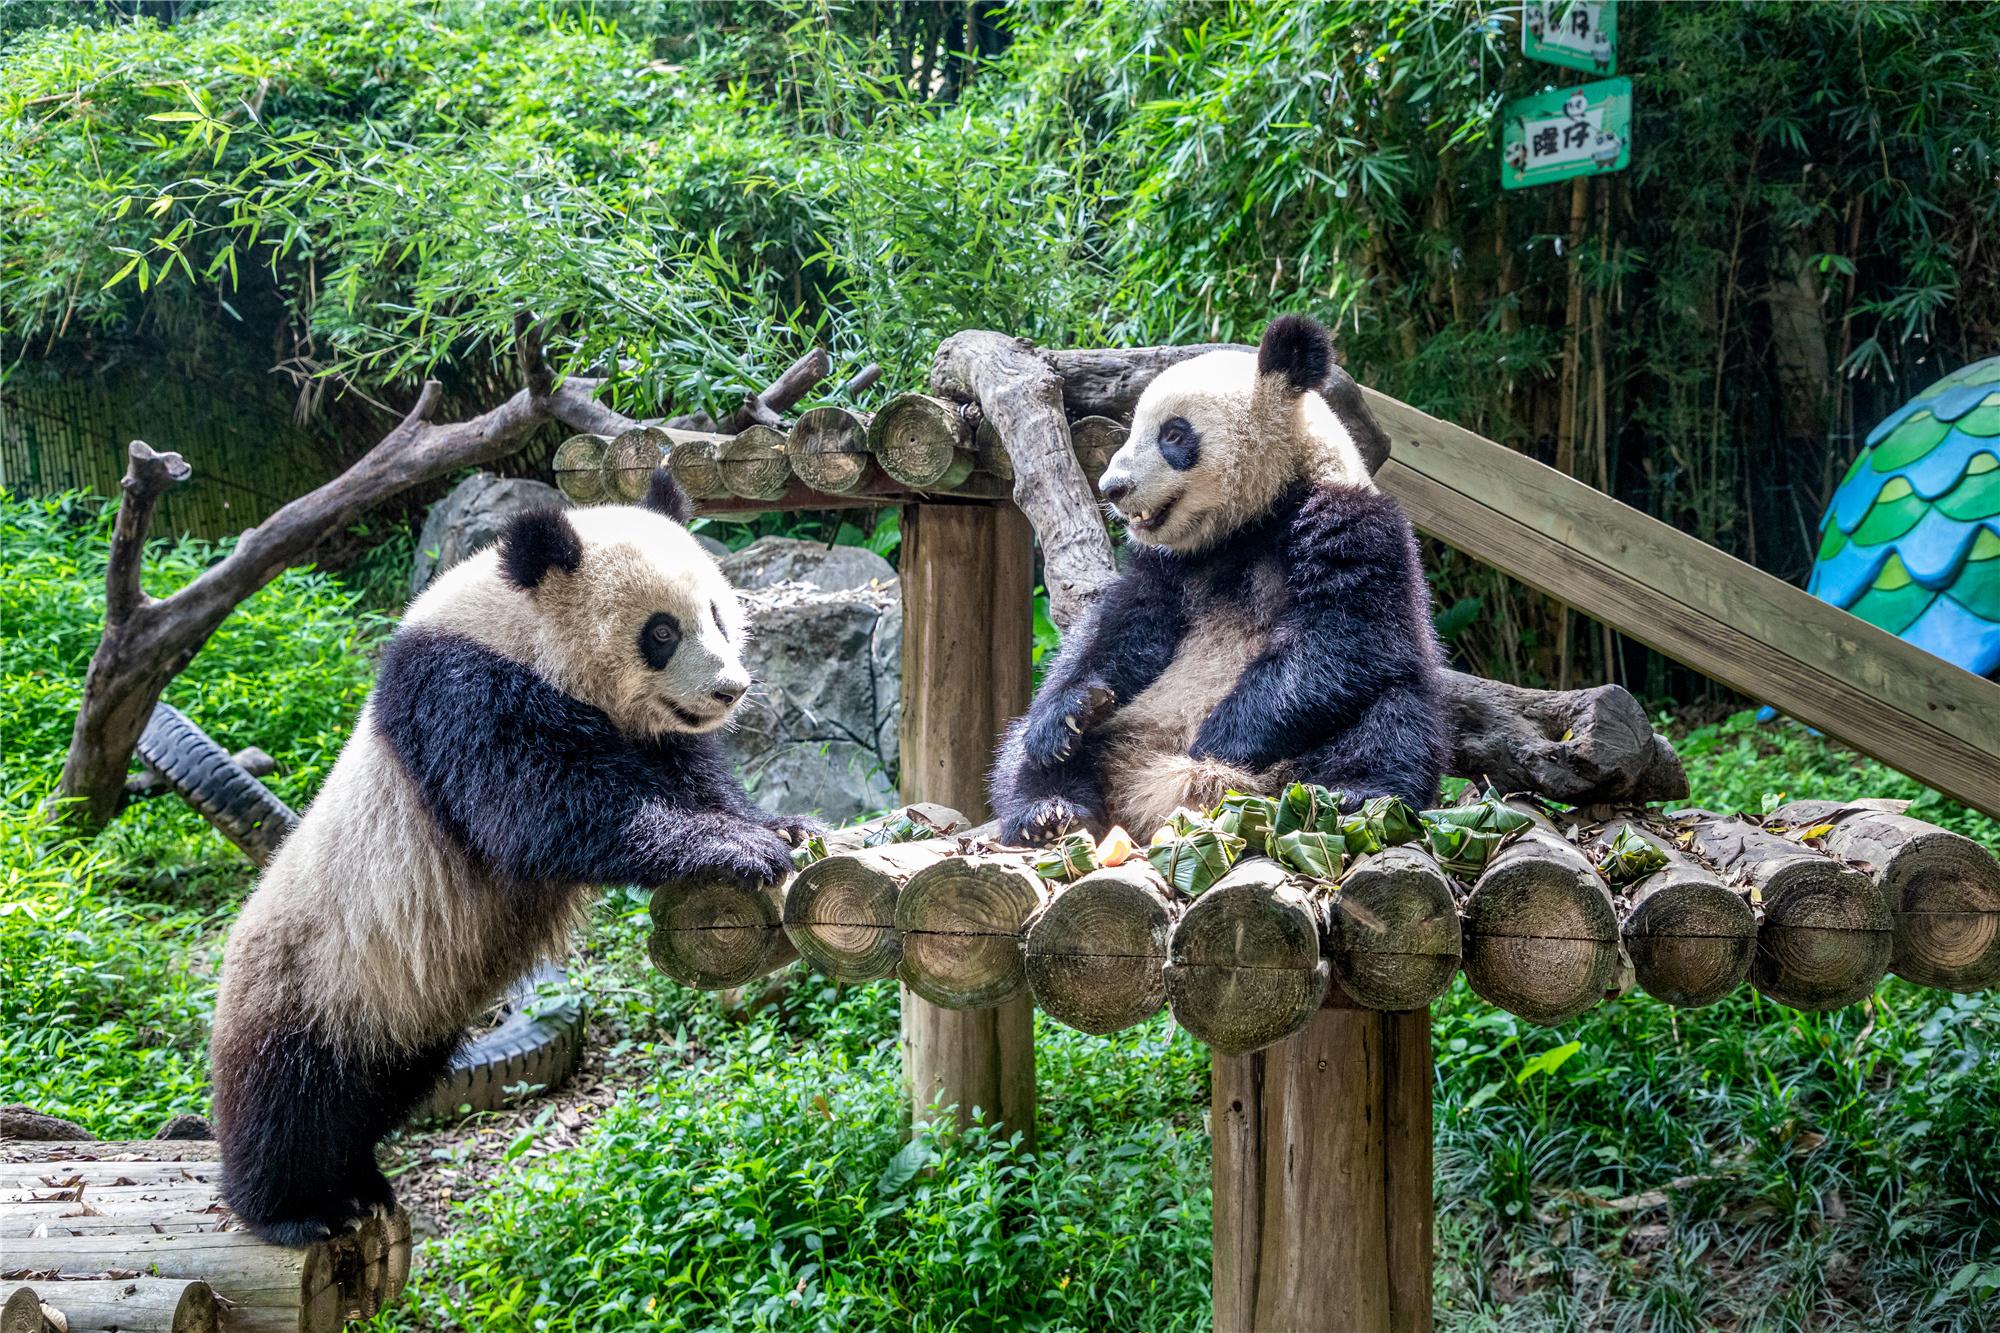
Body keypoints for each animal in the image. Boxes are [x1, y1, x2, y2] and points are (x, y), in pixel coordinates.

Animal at [211, 470, 820, 1248]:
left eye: (716, 612)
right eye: (661, 631)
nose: (729, 689)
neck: (518, 628)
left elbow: (687, 771)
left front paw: (781, 825)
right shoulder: (462, 694)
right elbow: (540, 808)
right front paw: (735, 847)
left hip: (398, 1017)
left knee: (377, 1088)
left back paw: (359, 1181)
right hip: (310, 978)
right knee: (287, 1101)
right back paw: (294, 1208)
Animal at [992, 312, 1448, 840]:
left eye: (1173, 434)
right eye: (1133, 429)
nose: (1113, 487)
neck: (1251, 520)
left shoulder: (1354, 523)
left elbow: (1341, 635)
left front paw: (1216, 742)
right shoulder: (1167, 565)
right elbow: (1123, 630)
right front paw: (1070, 714)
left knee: (1395, 715)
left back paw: (1355, 794)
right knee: (1019, 750)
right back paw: (1049, 809)